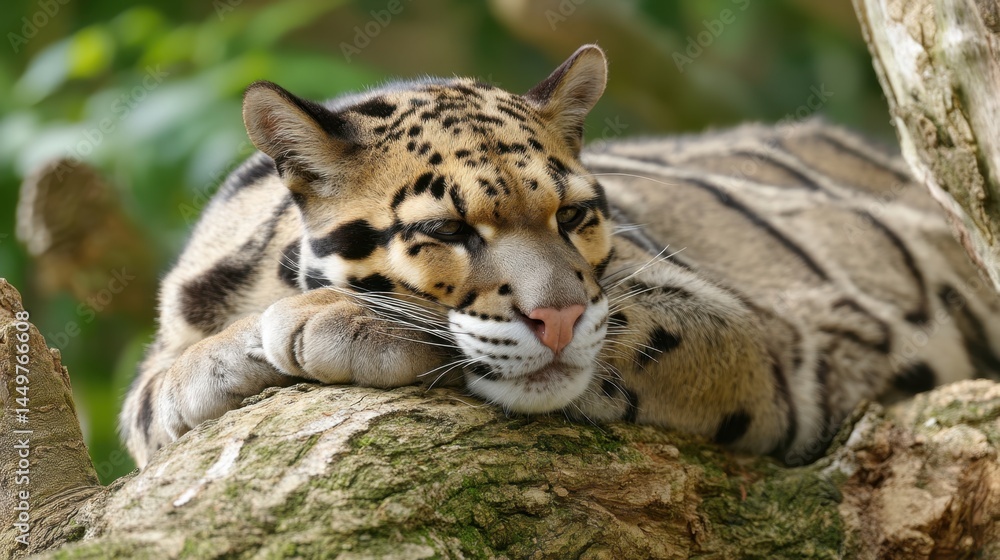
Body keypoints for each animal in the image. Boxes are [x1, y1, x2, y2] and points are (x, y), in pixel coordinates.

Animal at [120, 44, 1000, 468]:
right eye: (447, 232)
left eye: (574, 215)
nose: (562, 318)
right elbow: (147, 398)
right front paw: (211, 363)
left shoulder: (752, 333)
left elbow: (629, 330)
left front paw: (338, 317)